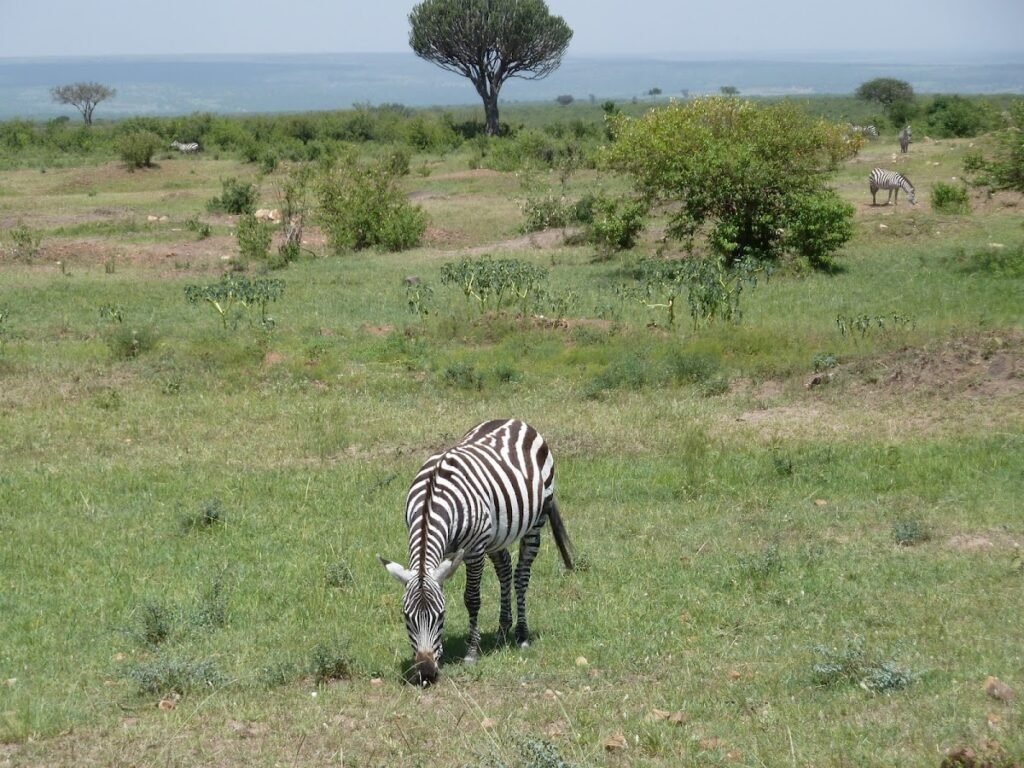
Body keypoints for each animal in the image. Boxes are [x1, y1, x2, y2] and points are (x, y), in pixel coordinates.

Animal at [378, 419, 574, 685]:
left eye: (441, 616)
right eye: (406, 617)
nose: (426, 673)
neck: (431, 501)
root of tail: (515, 421)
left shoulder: (474, 549)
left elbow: (471, 598)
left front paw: (471, 652)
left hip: (535, 521)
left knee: (521, 575)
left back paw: (522, 635)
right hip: (496, 535)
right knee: (504, 569)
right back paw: (502, 629)